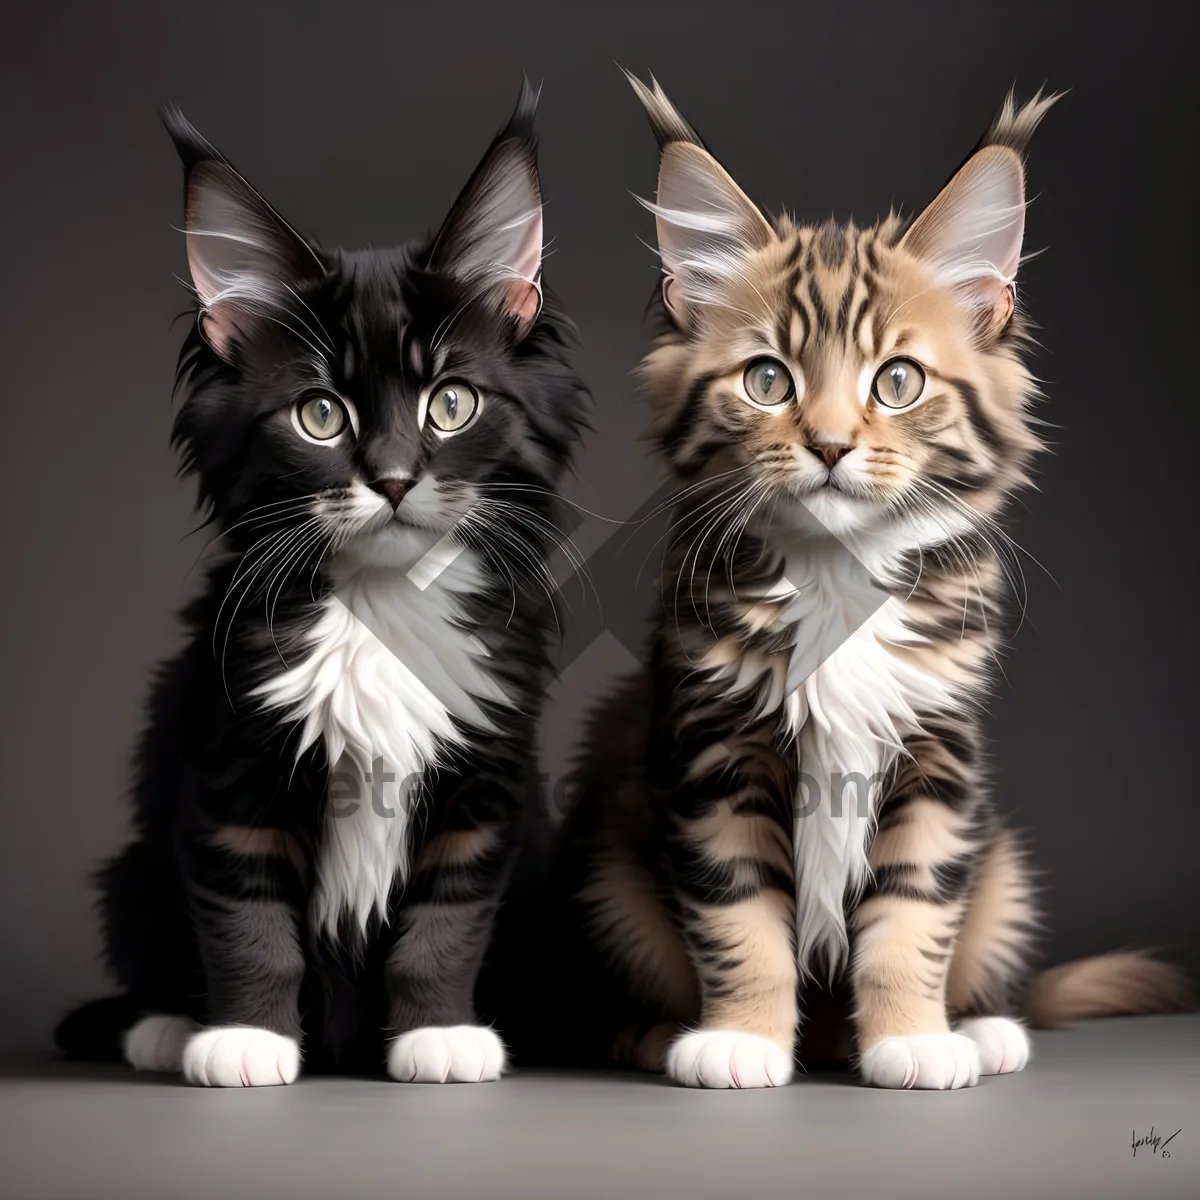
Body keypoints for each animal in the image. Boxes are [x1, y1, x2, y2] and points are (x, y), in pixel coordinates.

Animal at [56, 79, 590, 1084]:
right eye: (320, 415)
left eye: (450, 403)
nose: (393, 478)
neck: (381, 610)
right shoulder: (230, 770)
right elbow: (249, 921)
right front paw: (247, 1040)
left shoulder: (486, 786)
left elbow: (444, 923)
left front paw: (439, 1034)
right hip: (134, 870)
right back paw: (163, 1026)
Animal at [552, 75, 1190, 1089]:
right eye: (767, 380)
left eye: (896, 382)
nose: (829, 444)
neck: (835, 582)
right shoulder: (714, 755)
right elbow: (740, 918)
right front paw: (741, 1038)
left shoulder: (936, 756)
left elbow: (912, 916)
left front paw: (912, 1040)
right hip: (608, 861)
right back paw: (668, 1036)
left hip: (1003, 864)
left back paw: (977, 1028)